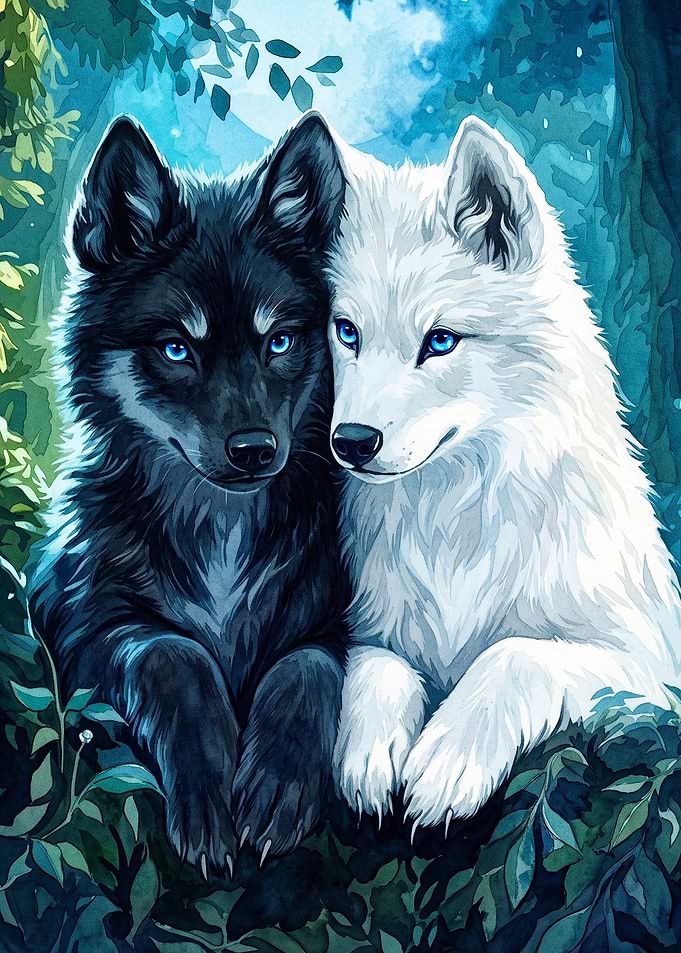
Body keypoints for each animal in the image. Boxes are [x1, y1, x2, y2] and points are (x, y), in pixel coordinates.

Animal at [29, 113, 350, 875]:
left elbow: (306, 667)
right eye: (177, 348)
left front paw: (277, 782)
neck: (222, 528)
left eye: (279, 341)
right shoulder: (80, 621)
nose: (255, 450)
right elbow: (175, 656)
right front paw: (206, 789)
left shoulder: (342, 623)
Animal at [325, 117, 681, 832]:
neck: (455, 518)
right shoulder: (372, 630)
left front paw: (450, 756)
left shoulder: (649, 667)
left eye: (439, 341)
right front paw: (369, 752)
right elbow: (377, 666)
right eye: (347, 332)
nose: (350, 443)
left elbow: (515, 651)